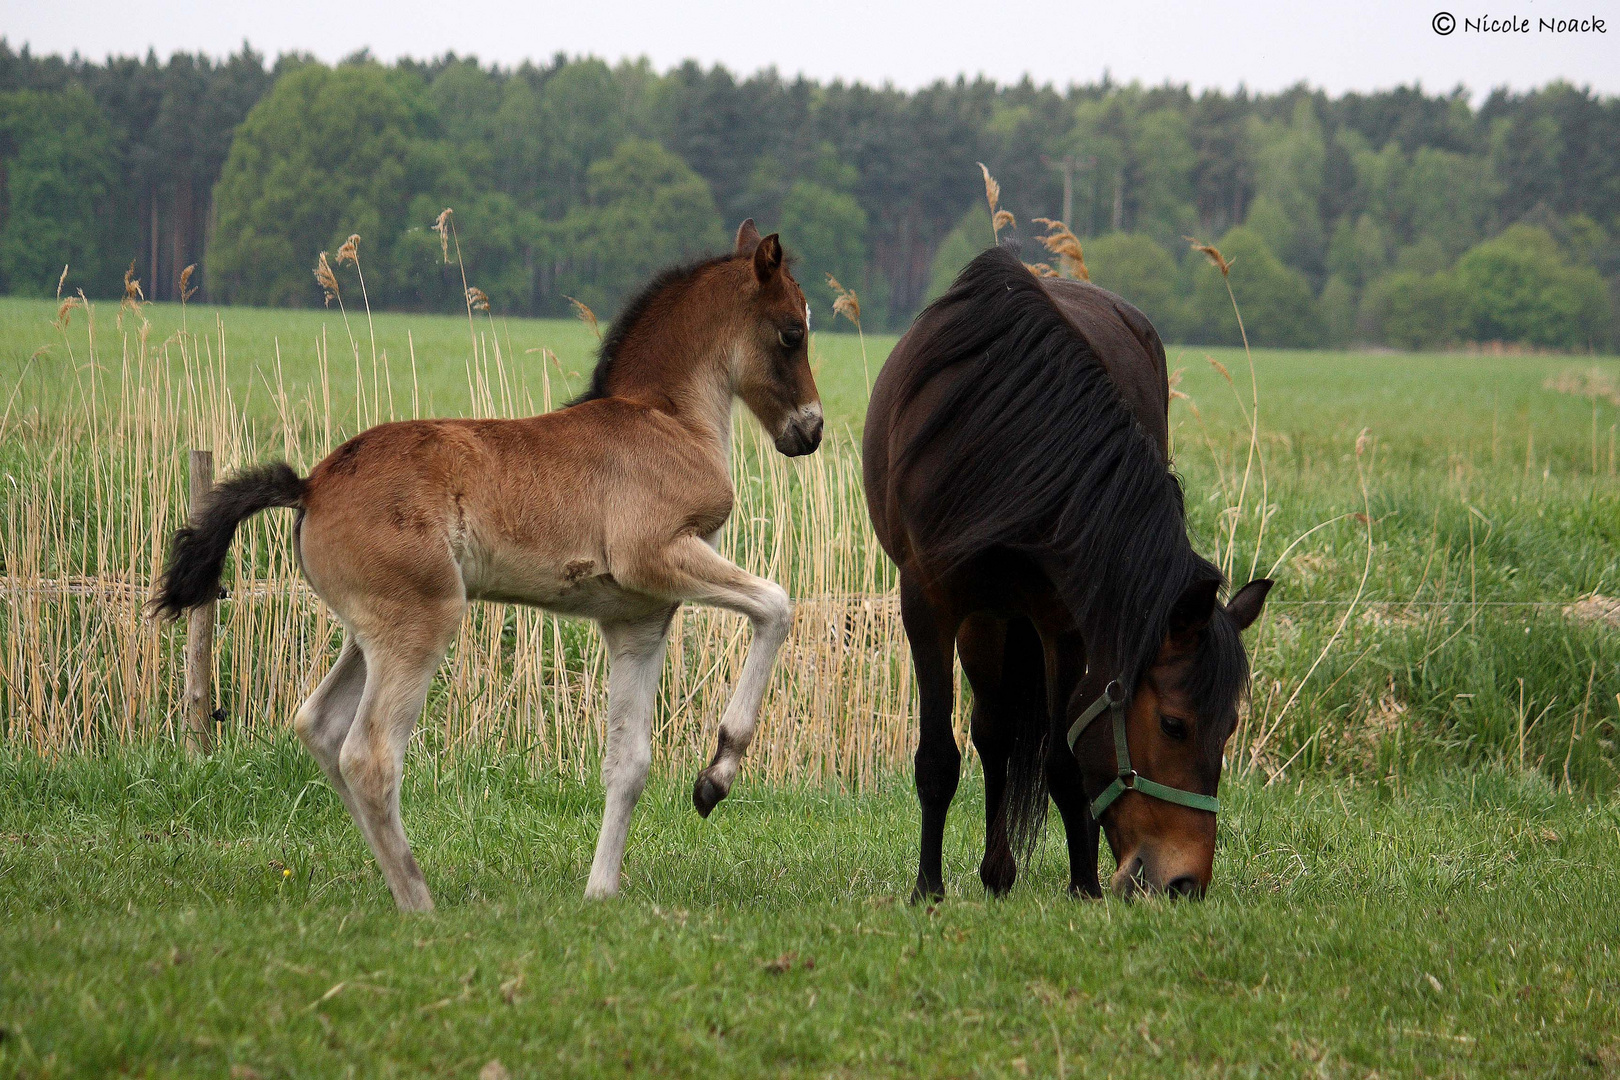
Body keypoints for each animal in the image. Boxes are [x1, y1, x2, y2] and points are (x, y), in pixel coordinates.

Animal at [152, 223, 822, 919]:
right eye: (790, 332)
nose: (811, 430)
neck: (667, 420)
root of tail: (310, 485)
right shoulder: (655, 556)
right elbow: (777, 603)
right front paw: (716, 775)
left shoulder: (638, 619)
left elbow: (629, 763)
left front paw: (600, 893)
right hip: (422, 621)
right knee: (369, 755)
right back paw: (421, 903)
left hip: (372, 632)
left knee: (320, 727)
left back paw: (399, 886)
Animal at [868, 244, 1270, 906]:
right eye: (1174, 725)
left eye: (1230, 727)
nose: (1184, 882)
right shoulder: (929, 602)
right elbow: (938, 759)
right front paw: (927, 886)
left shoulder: (1061, 620)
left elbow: (1063, 761)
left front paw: (1084, 884)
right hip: (985, 615)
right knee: (993, 730)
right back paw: (994, 870)